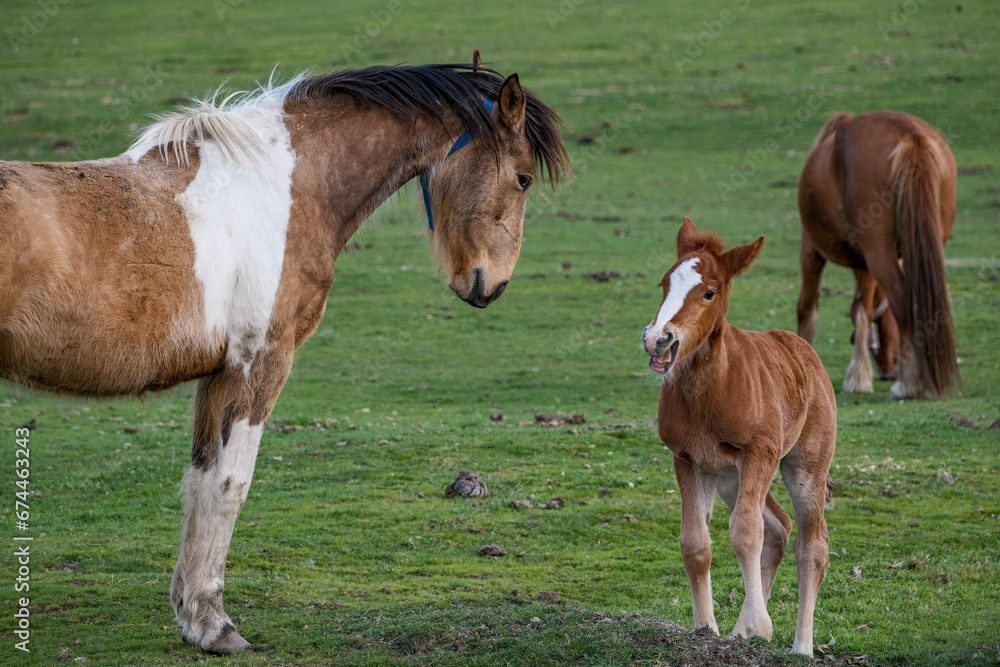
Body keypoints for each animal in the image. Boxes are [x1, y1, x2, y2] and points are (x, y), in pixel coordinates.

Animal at [0, 53, 569, 653]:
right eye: (524, 177)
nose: (493, 285)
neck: (284, 187)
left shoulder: (219, 374)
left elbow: (200, 480)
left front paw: (189, 612)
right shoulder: (261, 363)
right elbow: (231, 484)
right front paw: (215, 625)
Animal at [642, 218, 836, 656]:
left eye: (709, 292)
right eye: (664, 283)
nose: (657, 338)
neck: (708, 390)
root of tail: (806, 351)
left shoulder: (759, 453)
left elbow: (746, 533)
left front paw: (759, 625)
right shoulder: (687, 459)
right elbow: (696, 544)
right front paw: (708, 628)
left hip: (804, 467)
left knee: (811, 545)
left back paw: (801, 646)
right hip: (729, 477)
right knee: (779, 526)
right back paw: (740, 631)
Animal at [797, 111, 958, 399]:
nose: (889, 369)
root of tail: (912, 137)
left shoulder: (811, 250)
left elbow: (808, 307)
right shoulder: (864, 265)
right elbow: (862, 309)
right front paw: (860, 376)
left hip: (878, 251)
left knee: (903, 300)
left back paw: (908, 385)